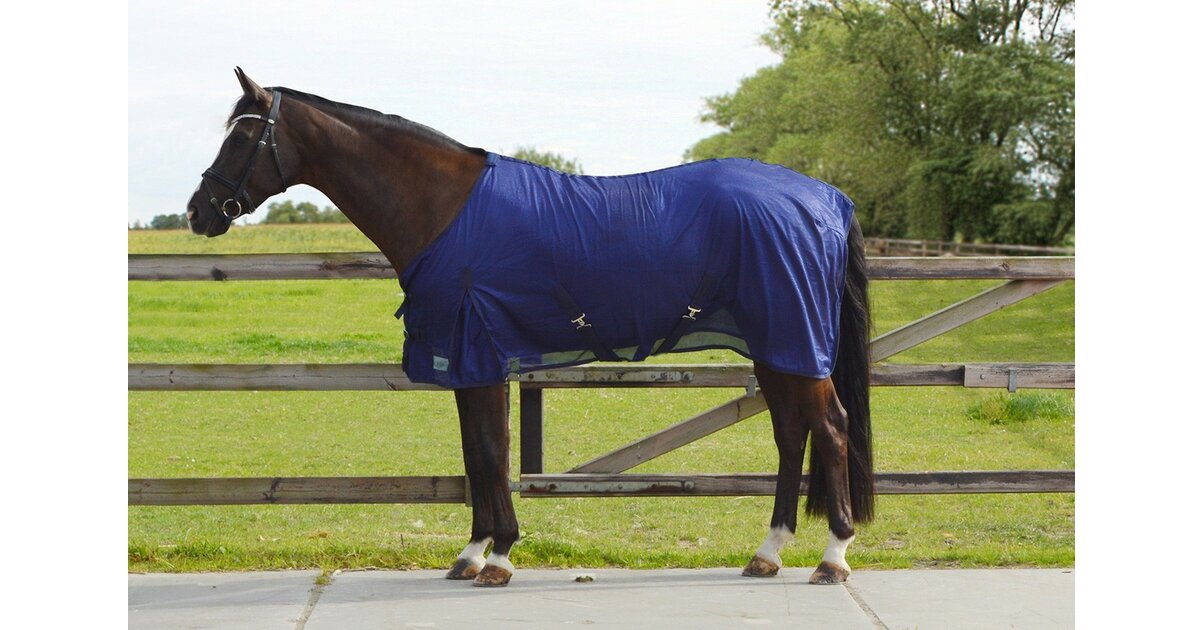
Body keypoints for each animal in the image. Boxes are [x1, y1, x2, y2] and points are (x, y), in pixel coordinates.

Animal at [187, 68, 874, 587]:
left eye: (241, 137)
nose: (198, 212)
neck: (444, 209)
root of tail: (826, 198)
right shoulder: (463, 361)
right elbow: (475, 454)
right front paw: (471, 553)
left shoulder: (480, 354)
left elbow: (492, 451)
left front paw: (498, 557)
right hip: (775, 346)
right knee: (791, 434)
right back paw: (769, 552)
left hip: (793, 341)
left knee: (830, 429)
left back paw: (833, 558)